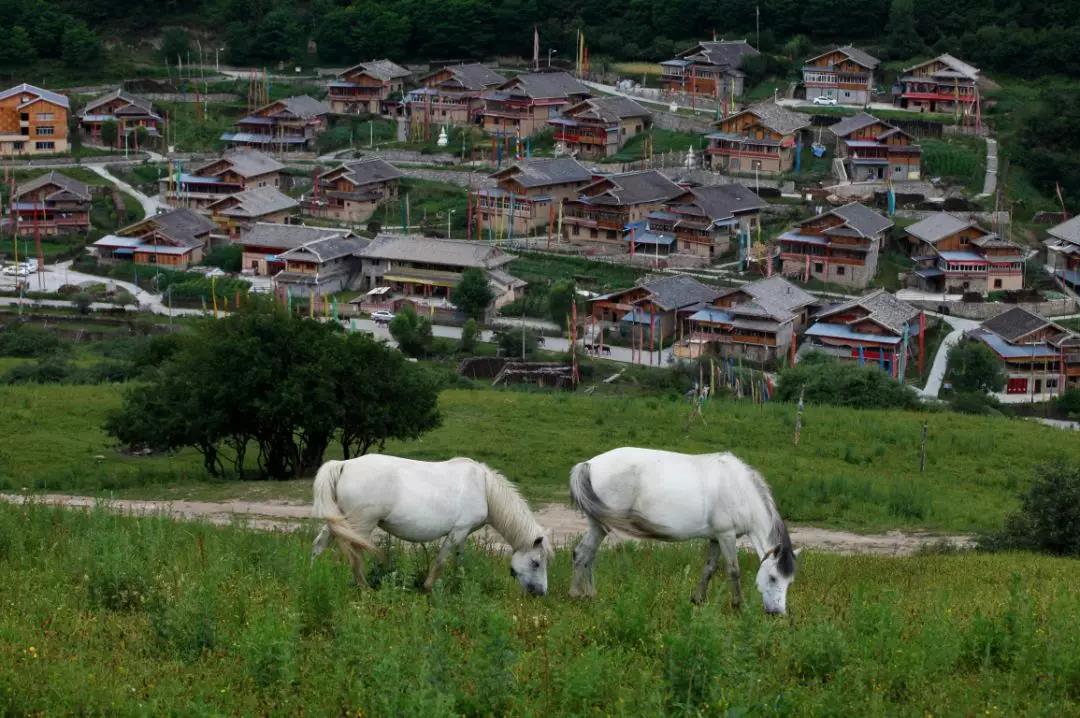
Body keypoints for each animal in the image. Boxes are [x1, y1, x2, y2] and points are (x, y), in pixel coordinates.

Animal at [308, 453, 552, 591]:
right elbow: (440, 561)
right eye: (536, 563)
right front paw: (427, 587)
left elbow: (458, 560)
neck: (484, 488)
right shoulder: (457, 532)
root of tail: (344, 464)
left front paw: (459, 583)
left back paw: (313, 578)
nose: (541, 593)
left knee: (318, 546)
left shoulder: (464, 534)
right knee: (355, 558)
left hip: (339, 522)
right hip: (361, 527)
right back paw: (364, 589)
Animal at [570, 449, 799, 608]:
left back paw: (588, 594)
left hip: (598, 526)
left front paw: (698, 600)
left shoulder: (716, 538)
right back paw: (578, 594)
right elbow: (733, 570)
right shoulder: (727, 535)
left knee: (586, 555)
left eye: (789, 581)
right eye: (773, 578)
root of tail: (588, 464)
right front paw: (738, 605)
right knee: (582, 554)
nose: (777, 613)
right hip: (599, 526)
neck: (739, 489)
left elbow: (709, 569)